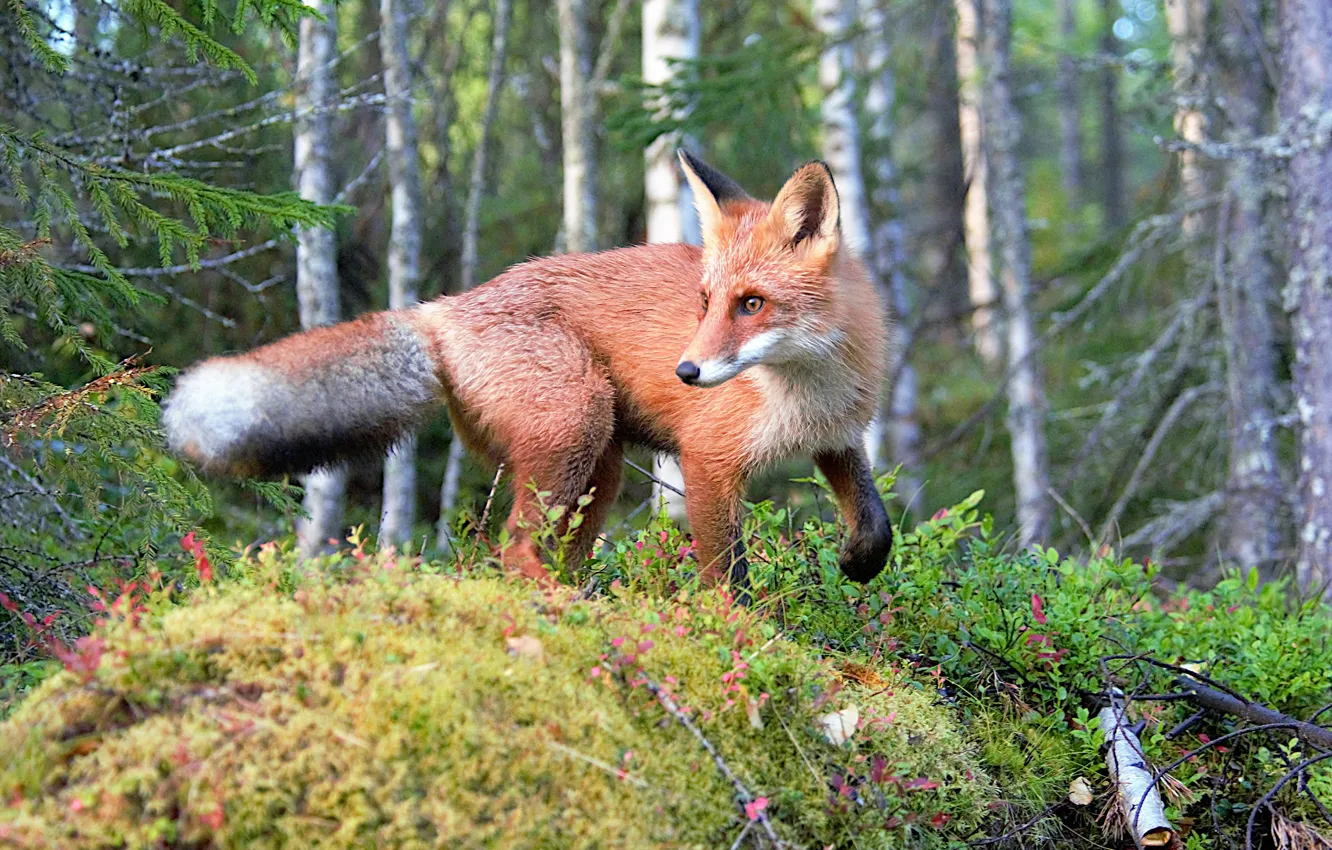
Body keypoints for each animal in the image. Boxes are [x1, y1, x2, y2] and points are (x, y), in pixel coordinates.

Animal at [162, 152, 894, 589]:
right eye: (707, 302)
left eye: (752, 304)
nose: (686, 371)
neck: (806, 391)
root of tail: (442, 310)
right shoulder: (707, 460)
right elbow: (729, 578)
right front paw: (739, 638)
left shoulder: (838, 436)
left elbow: (876, 521)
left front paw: (858, 563)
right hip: (578, 424)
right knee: (512, 551)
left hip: (597, 468)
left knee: (545, 552)